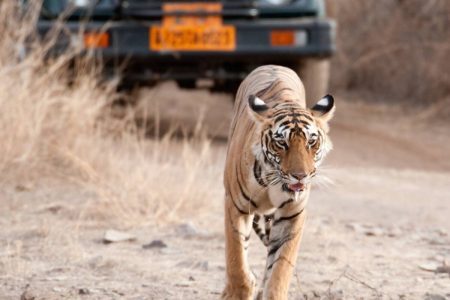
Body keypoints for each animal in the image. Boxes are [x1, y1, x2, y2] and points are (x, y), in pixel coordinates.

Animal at [221, 64, 334, 298]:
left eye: (311, 142)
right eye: (281, 143)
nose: (300, 175)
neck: (272, 181)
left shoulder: (293, 214)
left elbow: (281, 267)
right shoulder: (236, 206)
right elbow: (236, 260)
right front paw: (237, 293)